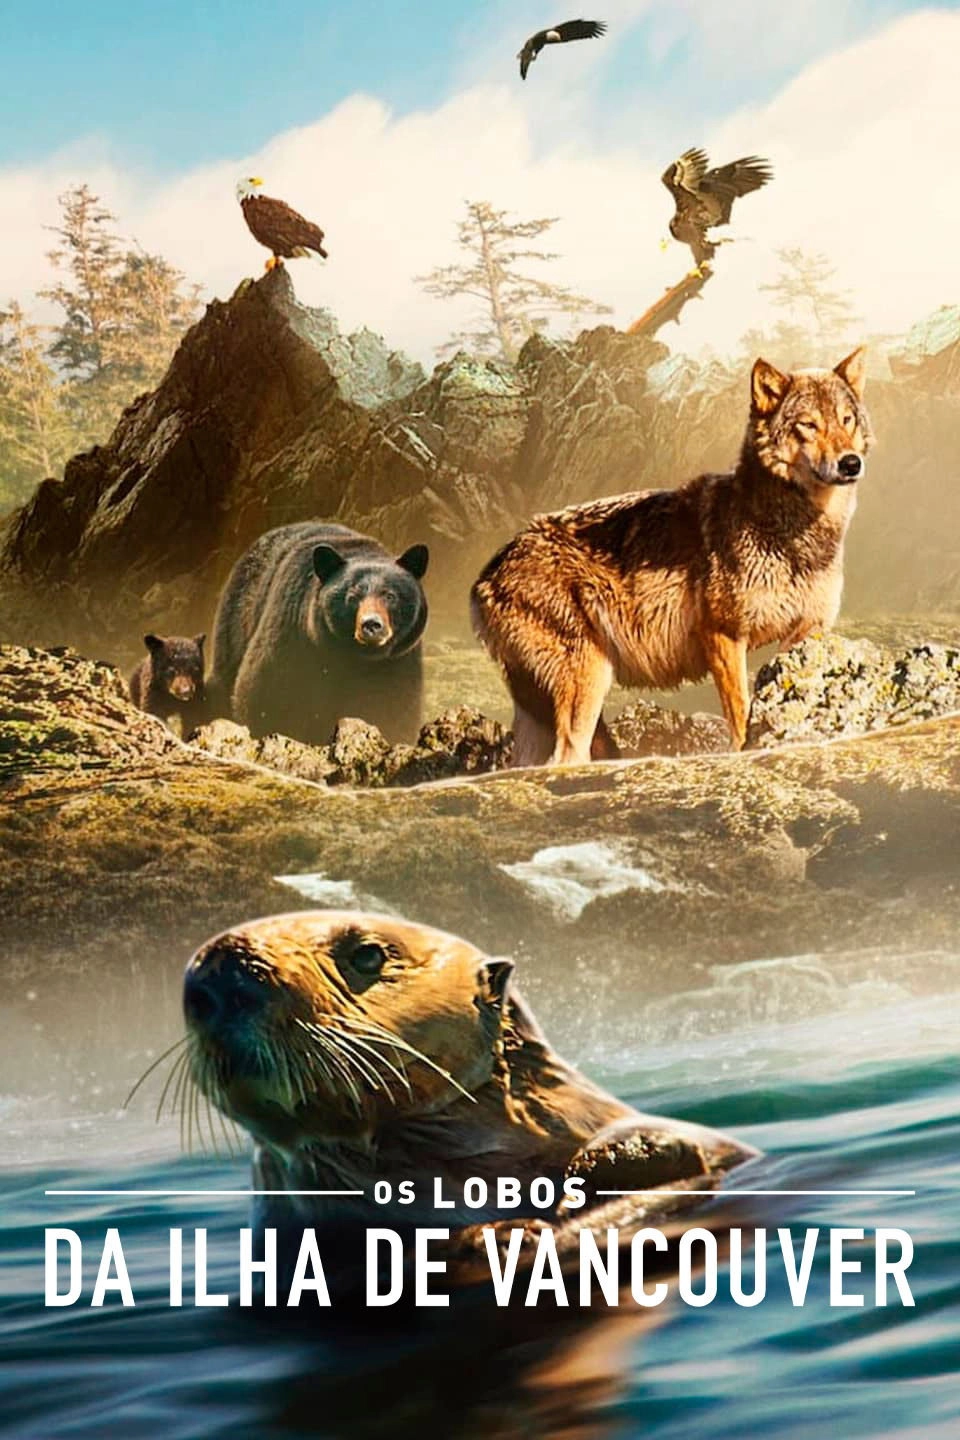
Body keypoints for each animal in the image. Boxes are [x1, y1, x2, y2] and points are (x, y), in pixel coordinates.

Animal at [471, 348, 871, 766]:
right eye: (808, 425)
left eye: (846, 419)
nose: (850, 463)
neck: (792, 531)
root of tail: (486, 574)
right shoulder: (724, 636)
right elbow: (741, 717)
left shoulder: (804, 636)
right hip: (588, 681)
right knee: (567, 757)